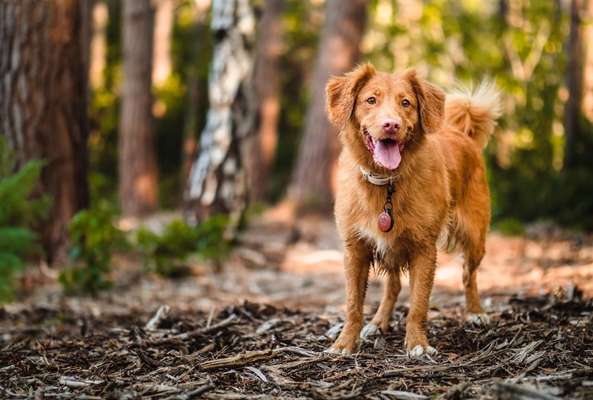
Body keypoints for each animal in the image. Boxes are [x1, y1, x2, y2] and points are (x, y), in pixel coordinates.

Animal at [324, 63, 500, 356]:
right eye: (370, 100)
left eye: (406, 103)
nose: (391, 124)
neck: (386, 182)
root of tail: (462, 135)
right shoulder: (355, 249)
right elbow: (353, 305)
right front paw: (345, 343)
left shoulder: (423, 249)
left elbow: (418, 304)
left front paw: (418, 343)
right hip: (392, 246)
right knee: (393, 285)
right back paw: (378, 323)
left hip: (475, 237)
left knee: (468, 275)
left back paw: (475, 312)